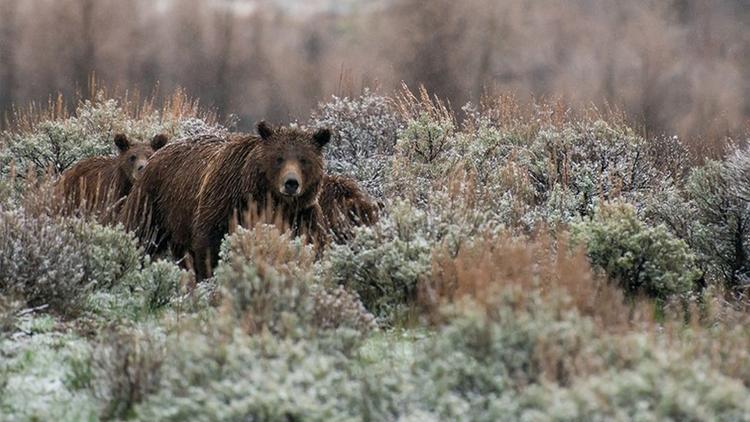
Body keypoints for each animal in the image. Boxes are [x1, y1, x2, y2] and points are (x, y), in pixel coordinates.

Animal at [124, 122, 332, 280]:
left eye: (304, 159)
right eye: (278, 158)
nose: (291, 183)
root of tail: (157, 154)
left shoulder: (302, 214)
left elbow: (311, 244)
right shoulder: (225, 202)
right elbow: (209, 244)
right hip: (154, 201)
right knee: (142, 234)